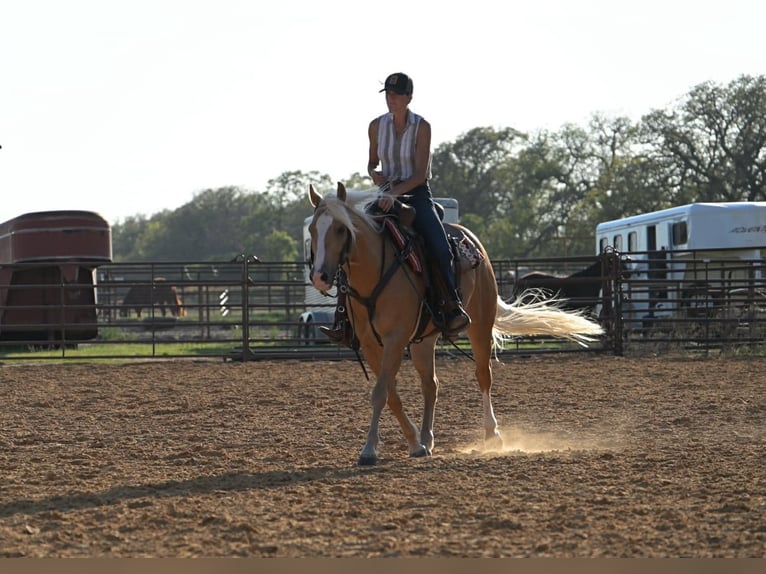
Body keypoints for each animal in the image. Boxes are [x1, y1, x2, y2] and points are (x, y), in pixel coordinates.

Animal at [308, 182, 604, 466]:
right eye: (312, 230)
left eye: (340, 229)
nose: (320, 277)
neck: (375, 272)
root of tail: (474, 243)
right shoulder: (371, 344)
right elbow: (391, 393)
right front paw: (415, 443)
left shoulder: (395, 339)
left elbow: (380, 392)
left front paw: (369, 450)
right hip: (424, 340)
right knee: (431, 384)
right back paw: (427, 438)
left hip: (480, 325)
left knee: (483, 375)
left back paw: (492, 435)